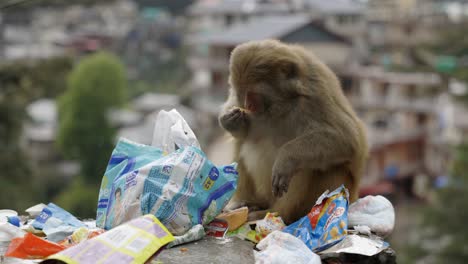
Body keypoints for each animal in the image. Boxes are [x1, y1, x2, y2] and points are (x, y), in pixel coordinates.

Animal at [219, 39, 370, 224]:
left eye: (253, 94)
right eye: (240, 92)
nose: (248, 106)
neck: (284, 103)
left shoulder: (315, 96)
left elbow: (346, 139)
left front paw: (286, 158)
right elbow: (242, 130)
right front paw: (231, 120)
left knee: (319, 166)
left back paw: (274, 213)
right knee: (241, 142)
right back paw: (246, 203)